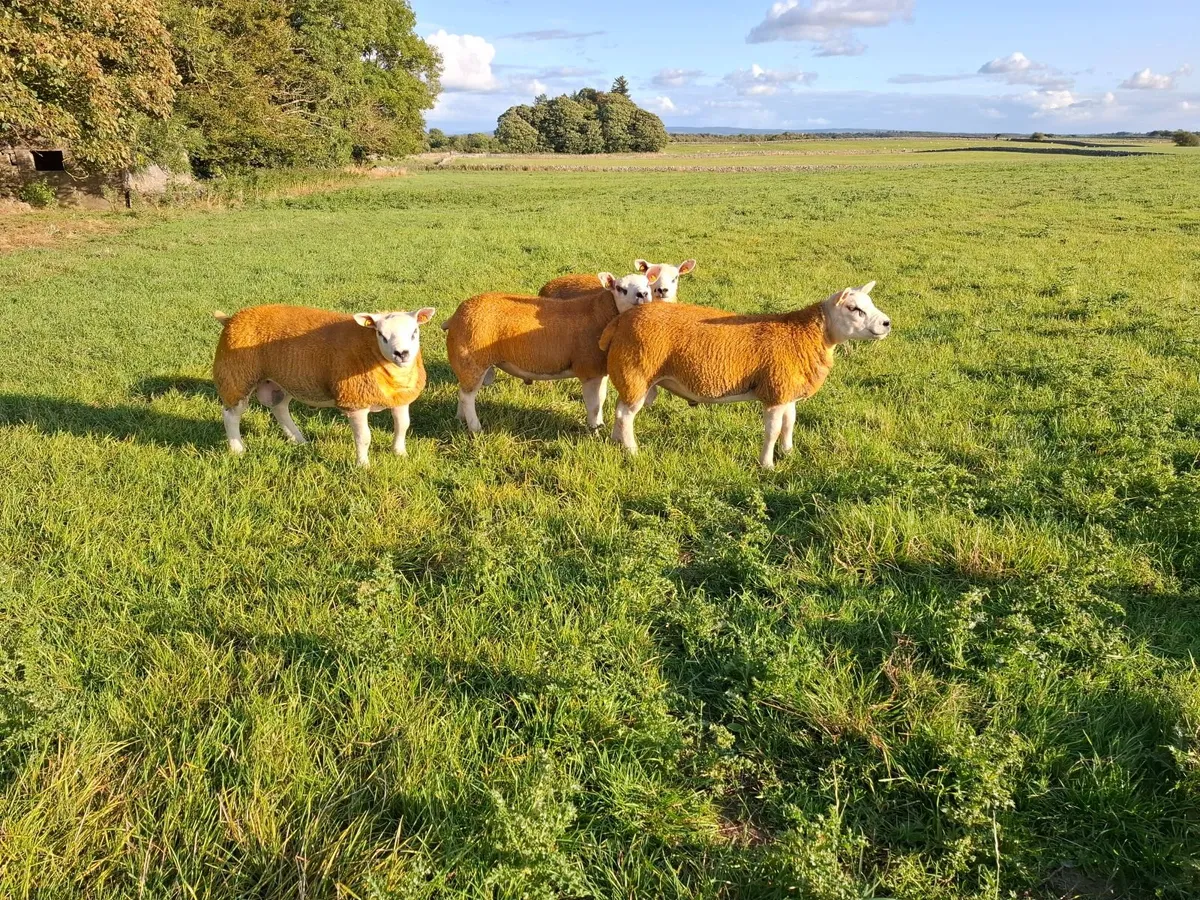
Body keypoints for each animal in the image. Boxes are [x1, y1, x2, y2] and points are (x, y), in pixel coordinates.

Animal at [212, 304, 435, 466]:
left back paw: (298, 440)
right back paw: (237, 449)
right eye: (381, 334)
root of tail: (232, 318)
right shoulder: (354, 401)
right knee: (231, 415)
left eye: (414, 331)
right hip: (236, 377)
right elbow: (364, 437)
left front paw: (400, 453)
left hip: (281, 380)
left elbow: (403, 426)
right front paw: (363, 465)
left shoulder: (400, 398)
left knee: (279, 408)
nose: (402, 353)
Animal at [443, 268, 661, 433]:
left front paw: (598, 424)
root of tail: (456, 315)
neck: (601, 314)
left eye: (647, 285)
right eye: (620, 288)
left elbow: (601, 399)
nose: (643, 295)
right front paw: (594, 429)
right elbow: (594, 404)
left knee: (463, 392)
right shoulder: (588, 370)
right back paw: (475, 427)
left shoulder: (599, 370)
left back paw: (460, 419)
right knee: (467, 397)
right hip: (472, 361)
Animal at [599, 282, 891, 469]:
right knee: (625, 414)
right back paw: (632, 451)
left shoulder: (787, 390)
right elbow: (773, 431)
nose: (887, 323)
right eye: (854, 308)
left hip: (633, 377)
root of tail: (620, 321)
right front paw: (767, 465)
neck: (807, 335)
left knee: (619, 409)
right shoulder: (774, 392)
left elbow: (790, 424)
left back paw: (616, 441)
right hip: (636, 372)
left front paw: (788, 452)